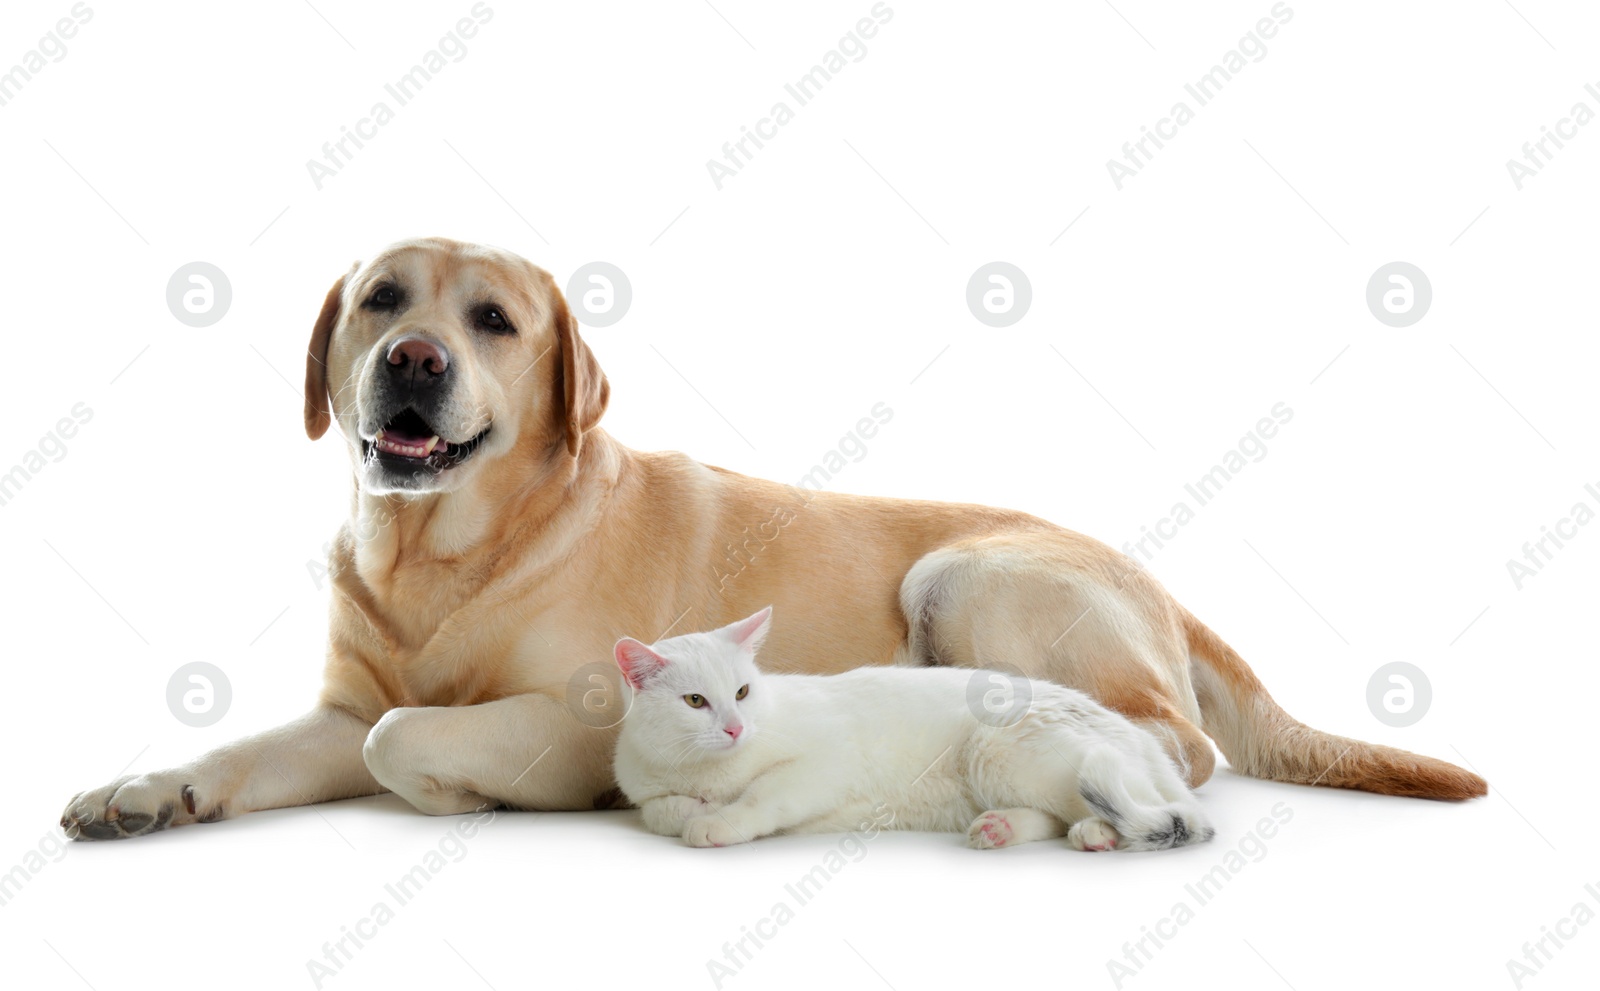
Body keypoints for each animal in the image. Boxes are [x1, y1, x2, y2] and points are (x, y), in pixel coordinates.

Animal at [608, 605, 1209, 851]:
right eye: (695, 701)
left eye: (741, 693)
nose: (735, 729)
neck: (706, 770)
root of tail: (1138, 734)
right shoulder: (642, 786)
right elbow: (659, 810)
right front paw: (692, 810)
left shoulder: (821, 763)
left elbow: (761, 796)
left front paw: (717, 821)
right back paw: (1001, 829)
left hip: (998, 748)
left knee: (1127, 804)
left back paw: (1097, 832)